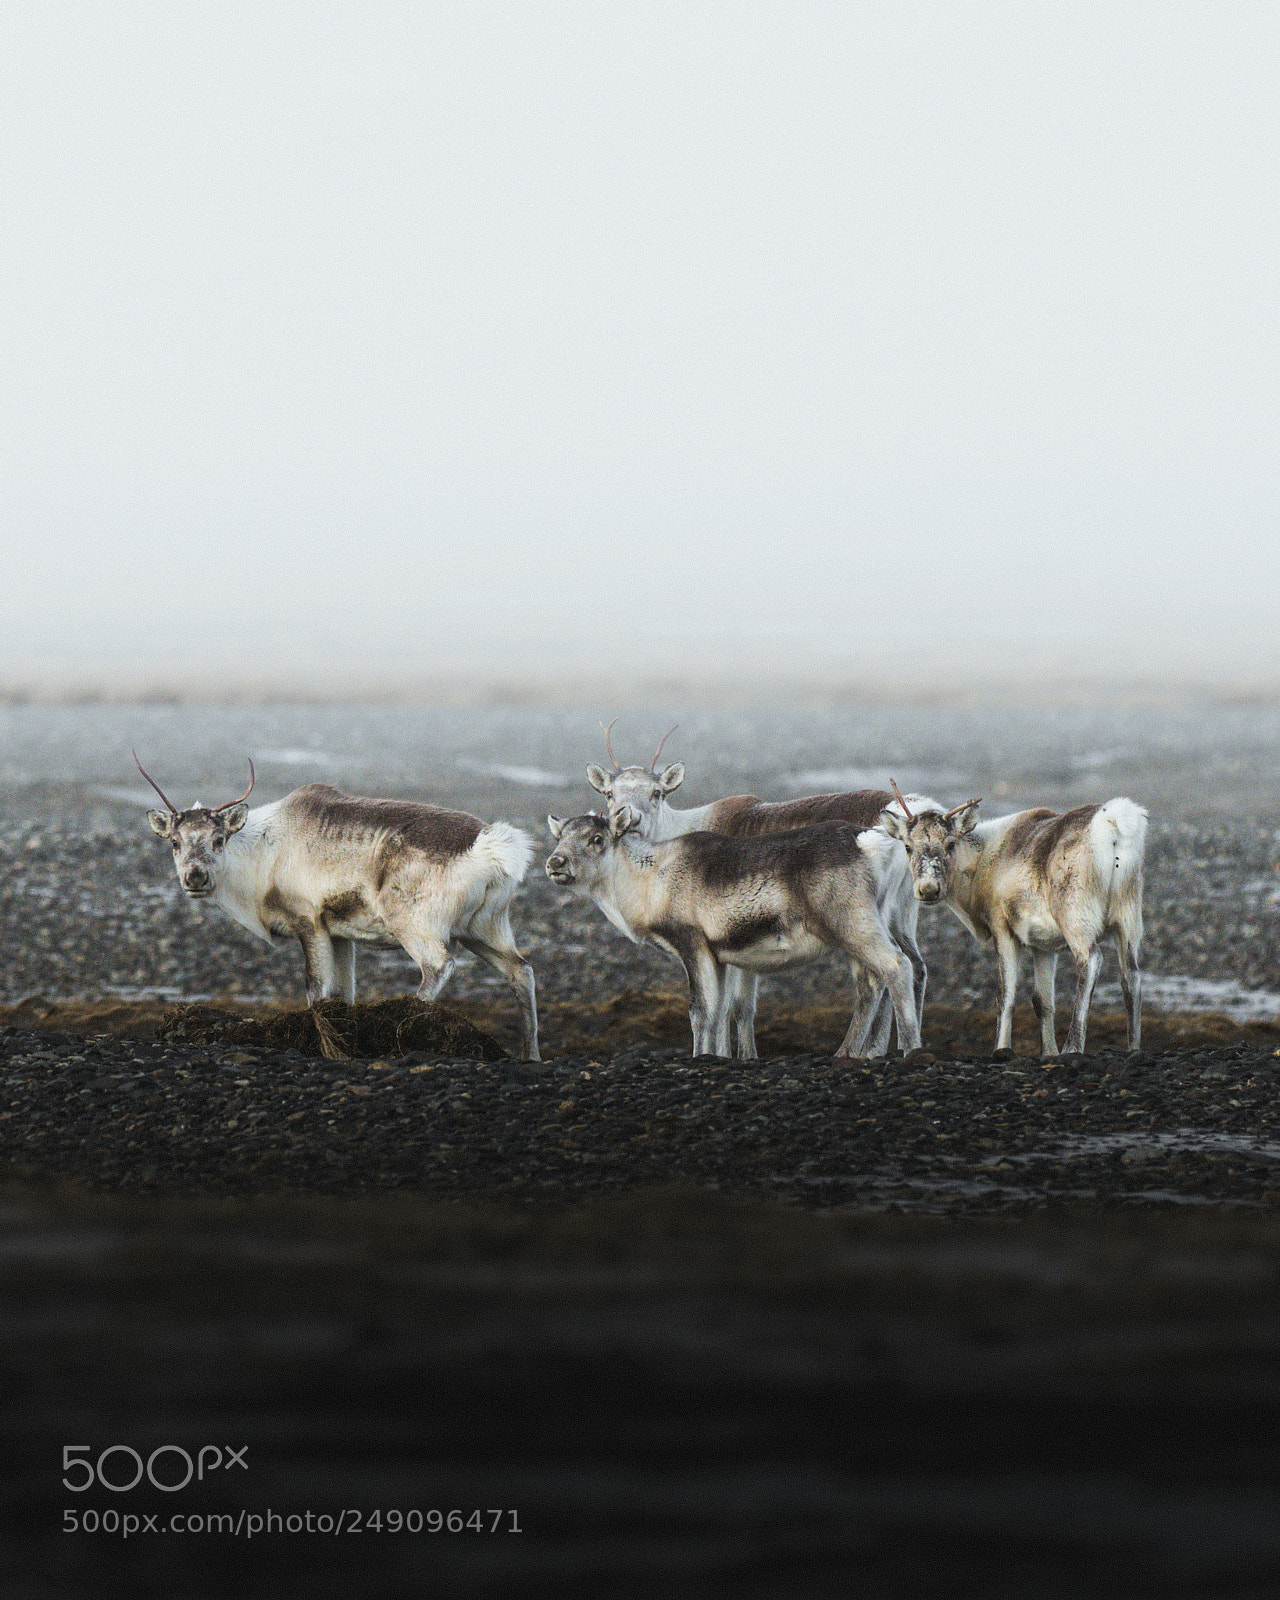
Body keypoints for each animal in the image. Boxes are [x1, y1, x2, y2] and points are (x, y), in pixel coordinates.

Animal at [134, 752, 540, 1059]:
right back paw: (529, 1056)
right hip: (484, 928)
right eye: (174, 842)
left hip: (414, 922)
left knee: (439, 966)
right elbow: (344, 994)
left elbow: (316, 988)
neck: (259, 856)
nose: (195, 877)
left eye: (219, 839)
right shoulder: (341, 933)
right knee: (521, 971)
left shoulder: (308, 921)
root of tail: (492, 847)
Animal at [545, 807, 922, 1060]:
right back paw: (845, 1054)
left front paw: (700, 1056)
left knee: (897, 966)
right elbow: (718, 1011)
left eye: (597, 839)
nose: (555, 863)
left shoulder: (691, 942)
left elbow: (699, 1010)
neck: (645, 883)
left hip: (851, 923)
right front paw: (717, 1056)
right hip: (858, 929)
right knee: (870, 985)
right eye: (559, 837)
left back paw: (910, 1047)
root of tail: (871, 845)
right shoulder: (718, 954)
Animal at [584, 721, 933, 1058]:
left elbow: (729, 1006)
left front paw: (727, 1055)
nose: (629, 819)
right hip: (901, 912)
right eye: (609, 794)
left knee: (891, 970)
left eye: (657, 792)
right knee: (915, 966)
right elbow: (739, 1006)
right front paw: (743, 1054)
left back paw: (873, 1050)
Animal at [879, 781, 1146, 1059]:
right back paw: (1133, 1047)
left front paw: (1002, 1048)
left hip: (1076, 916)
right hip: (1128, 918)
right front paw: (1048, 1052)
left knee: (1091, 960)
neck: (978, 868)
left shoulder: (1001, 927)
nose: (929, 889)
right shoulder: (1044, 945)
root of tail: (1114, 824)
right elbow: (1043, 1001)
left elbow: (1005, 996)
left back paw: (1072, 1047)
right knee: (1132, 978)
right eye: (908, 846)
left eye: (950, 843)